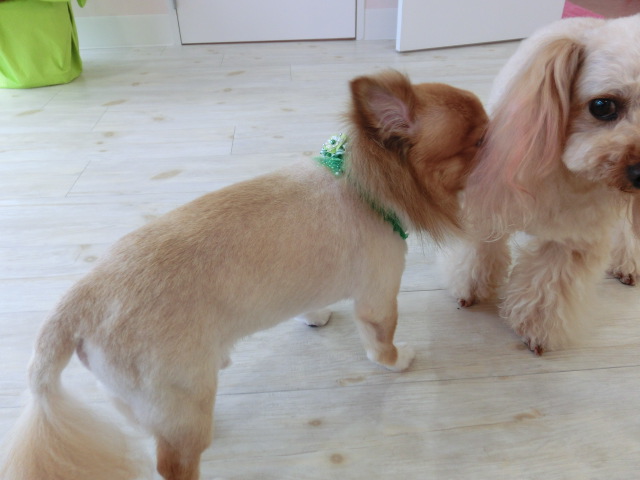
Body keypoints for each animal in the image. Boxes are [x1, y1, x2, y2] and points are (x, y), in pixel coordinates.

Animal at [0, 70, 487, 480]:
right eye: (479, 141)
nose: (499, 140)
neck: (360, 183)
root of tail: (76, 303)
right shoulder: (379, 297)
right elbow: (381, 343)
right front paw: (398, 360)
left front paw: (316, 316)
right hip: (182, 406)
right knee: (173, 464)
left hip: (145, 401)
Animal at [447, 15, 640, 355]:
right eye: (602, 106)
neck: (566, 176)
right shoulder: (489, 202)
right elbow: (477, 253)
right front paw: (468, 288)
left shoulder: (572, 241)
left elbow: (548, 289)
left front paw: (535, 331)